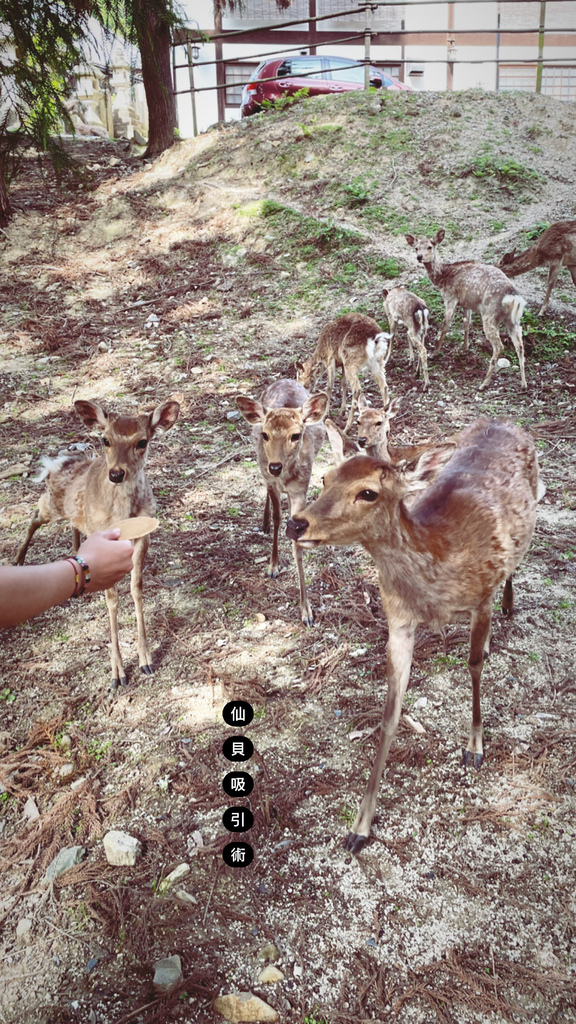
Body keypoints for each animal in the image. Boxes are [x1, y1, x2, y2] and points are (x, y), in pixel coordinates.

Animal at [15, 397, 179, 688]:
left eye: (142, 441)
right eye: (105, 440)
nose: (116, 474)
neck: (123, 514)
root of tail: (59, 464)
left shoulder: (143, 535)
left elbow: (136, 588)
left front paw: (146, 660)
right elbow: (112, 598)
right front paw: (118, 673)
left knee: (71, 523)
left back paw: (73, 552)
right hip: (53, 505)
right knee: (35, 513)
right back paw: (18, 558)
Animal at [235, 380, 327, 626]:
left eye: (295, 435)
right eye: (265, 435)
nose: (275, 466)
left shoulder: (300, 488)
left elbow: (296, 539)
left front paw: (306, 612)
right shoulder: (271, 481)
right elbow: (278, 518)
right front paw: (273, 566)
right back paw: (264, 522)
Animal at [284, 417, 537, 856]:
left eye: (368, 492)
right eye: (326, 477)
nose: (297, 523)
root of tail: (503, 420)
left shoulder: (480, 596)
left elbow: (472, 666)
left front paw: (475, 747)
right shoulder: (398, 621)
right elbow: (390, 712)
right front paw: (360, 826)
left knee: (513, 569)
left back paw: (506, 610)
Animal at [405, 228, 528, 391]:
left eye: (430, 246)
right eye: (416, 248)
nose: (419, 257)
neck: (443, 277)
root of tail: (512, 296)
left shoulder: (450, 298)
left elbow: (445, 326)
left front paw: (435, 353)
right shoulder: (466, 303)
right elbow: (466, 324)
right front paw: (464, 348)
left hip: (489, 314)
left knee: (499, 346)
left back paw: (484, 383)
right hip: (513, 320)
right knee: (520, 345)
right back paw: (523, 383)